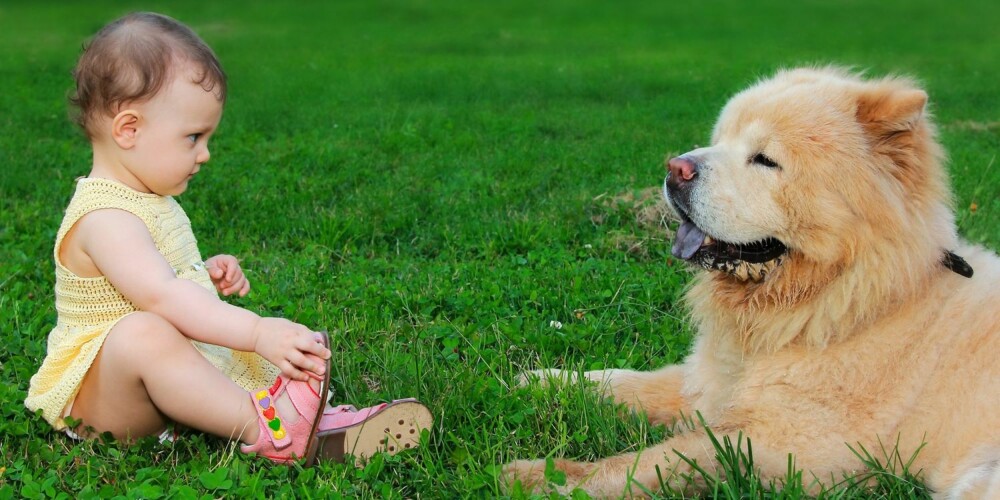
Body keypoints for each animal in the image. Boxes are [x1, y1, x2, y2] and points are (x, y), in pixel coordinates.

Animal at [504, 67, 1000, 500]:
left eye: (765, 160)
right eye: (720, 140)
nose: (676, 168)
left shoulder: (788, 445)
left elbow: (663, 458)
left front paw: (544, 479)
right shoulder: (711, 383)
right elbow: (628, 382)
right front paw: (543, 381)